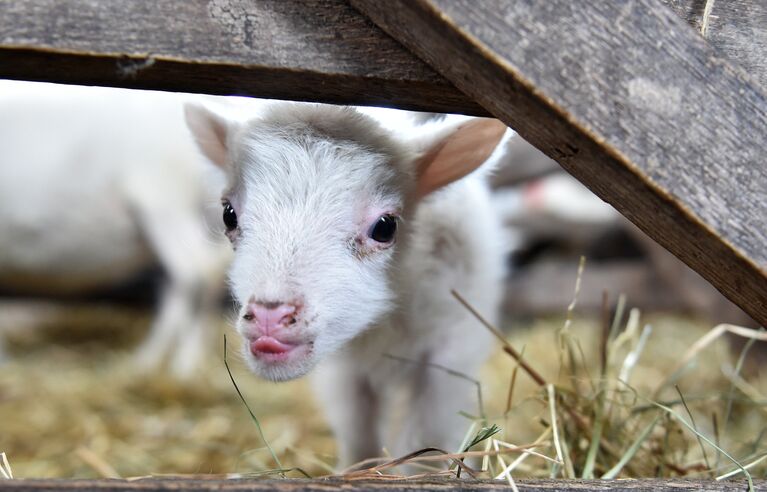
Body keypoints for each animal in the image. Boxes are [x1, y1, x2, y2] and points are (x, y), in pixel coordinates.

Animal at [184, 101, 510, 466]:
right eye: (228, 215)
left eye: (385, 227)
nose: (270, 318)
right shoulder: (344, 374)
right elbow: (358, 433)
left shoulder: (449, 354)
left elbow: (428, 437)